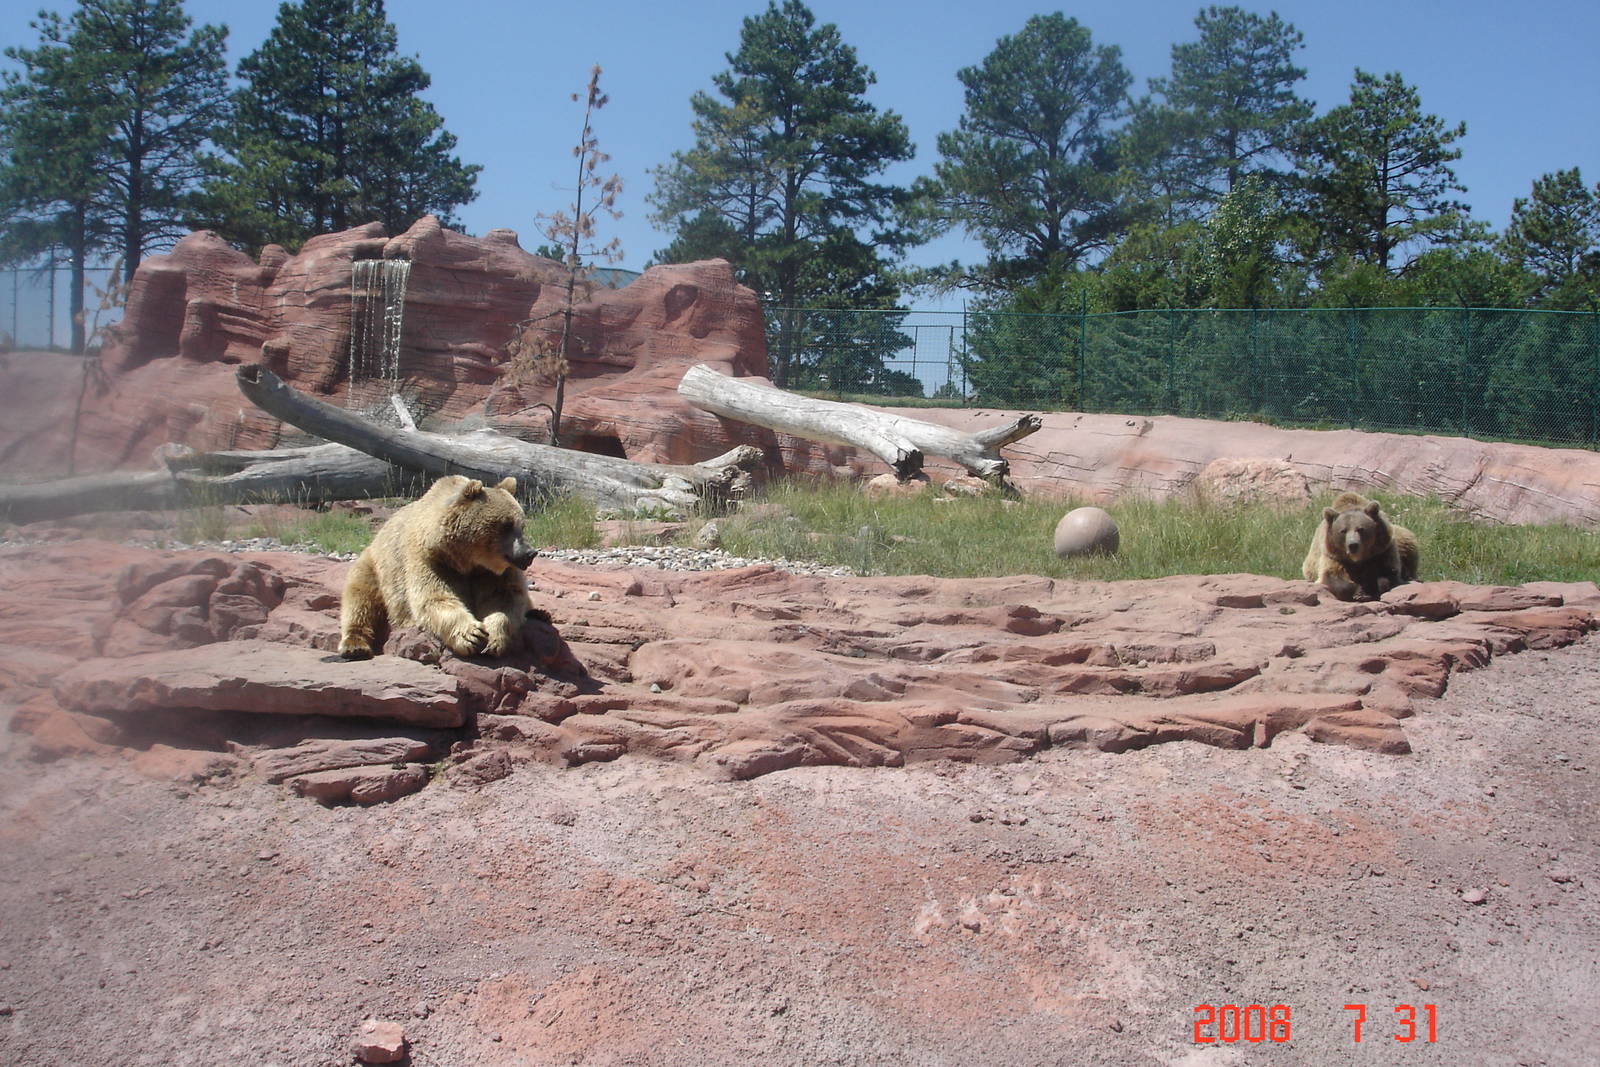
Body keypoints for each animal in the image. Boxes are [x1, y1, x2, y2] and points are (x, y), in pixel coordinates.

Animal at [338, 474, 537, 659]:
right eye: (506, 525)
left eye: (521, 525)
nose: (529, 553)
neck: (467, 560)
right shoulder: (432, 560)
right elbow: (434, 597)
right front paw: (471, 635)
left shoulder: (494, 573)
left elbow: (506, 597)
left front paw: (495, 638)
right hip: (374, 568)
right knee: (360, 599)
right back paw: (354, 646)